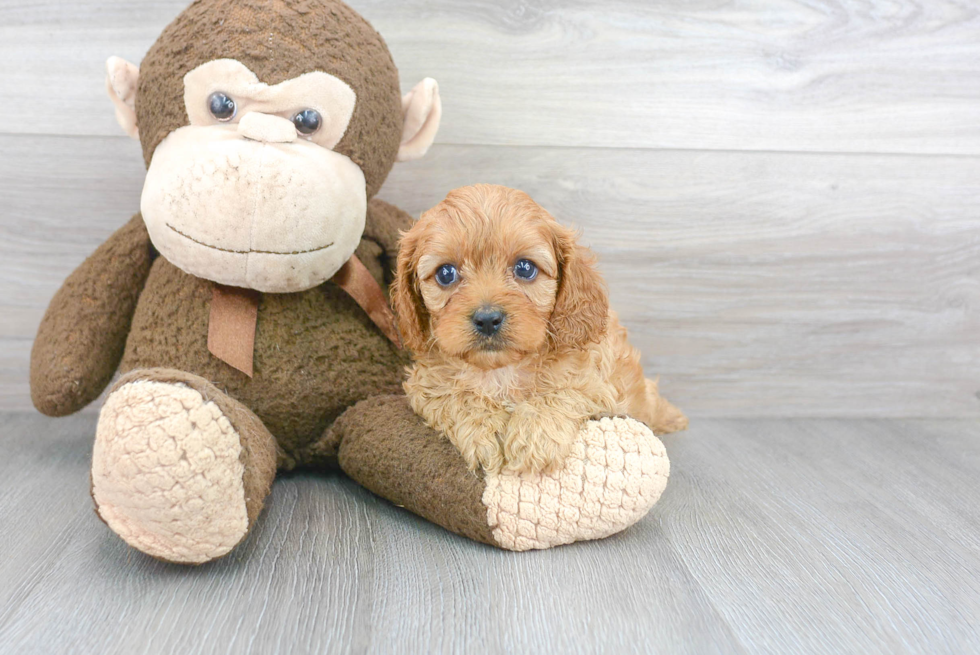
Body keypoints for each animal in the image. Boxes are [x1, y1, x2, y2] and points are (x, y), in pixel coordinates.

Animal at [386, 184, 684, 476]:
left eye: (525, 268)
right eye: (445, 274)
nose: (487, 319)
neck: (502, 371)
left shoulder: (599, 386)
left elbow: (564, 392)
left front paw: (534, 437)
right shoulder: (424, 384)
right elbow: (453, 395)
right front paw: (486, 427)